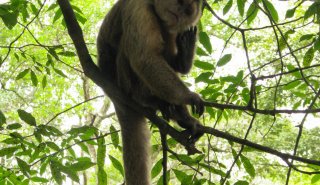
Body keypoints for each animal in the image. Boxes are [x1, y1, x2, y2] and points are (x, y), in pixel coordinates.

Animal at [96, 0, 204, 184]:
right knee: (131, 49)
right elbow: (146, 59)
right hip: (123, 83)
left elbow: (172, 63)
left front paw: (185, 52)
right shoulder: (137, 6)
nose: (179, 13)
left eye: (188, 11)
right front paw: (190, 97)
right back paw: (147, 99)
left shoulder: (172, 28)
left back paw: (180, 116)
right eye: (180, 2)